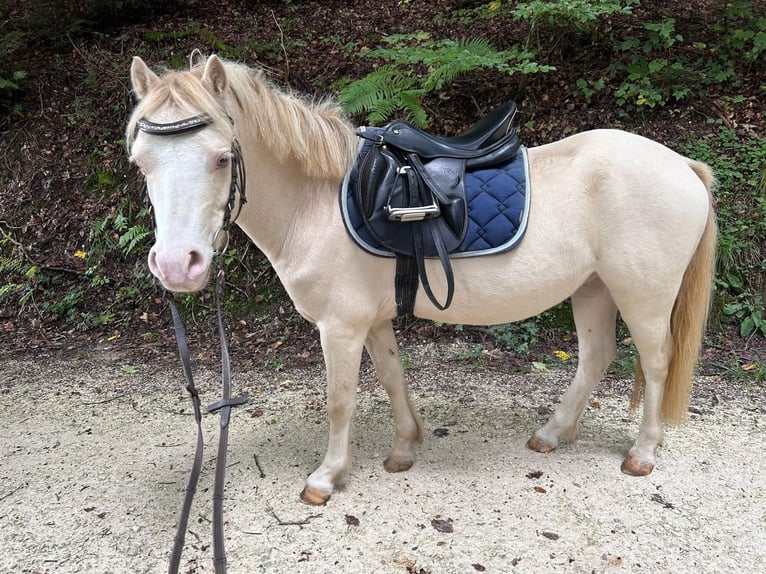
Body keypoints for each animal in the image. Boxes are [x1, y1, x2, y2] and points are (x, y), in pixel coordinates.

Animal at [126, 54, 716, 506]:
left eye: (222, 157)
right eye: (140, 163)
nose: (178, 265)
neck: (317, 201)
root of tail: (682, 166)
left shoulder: (339, 327)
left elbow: (340, 398)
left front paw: (326, 478)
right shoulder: (371, 319)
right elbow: (392, 377)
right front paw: (405, 448)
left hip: (643, 295)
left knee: (657, 362)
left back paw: (642, 454)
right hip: (592, 288)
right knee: (596, 357)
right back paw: (553, 434)